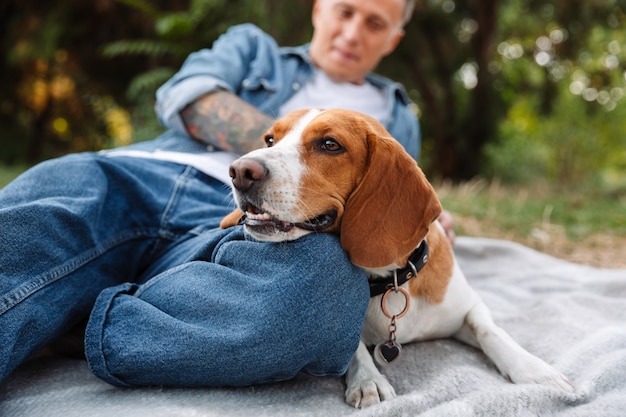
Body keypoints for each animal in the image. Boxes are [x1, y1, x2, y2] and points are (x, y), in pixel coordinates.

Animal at [218, 107, 572, 406]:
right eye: (270, 140)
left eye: (330, 144)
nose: (239, 171)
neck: (390, 278)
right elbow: (354, 347)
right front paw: (368, 380)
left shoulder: (469, 306)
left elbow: (491, 331)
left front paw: (535, 370)